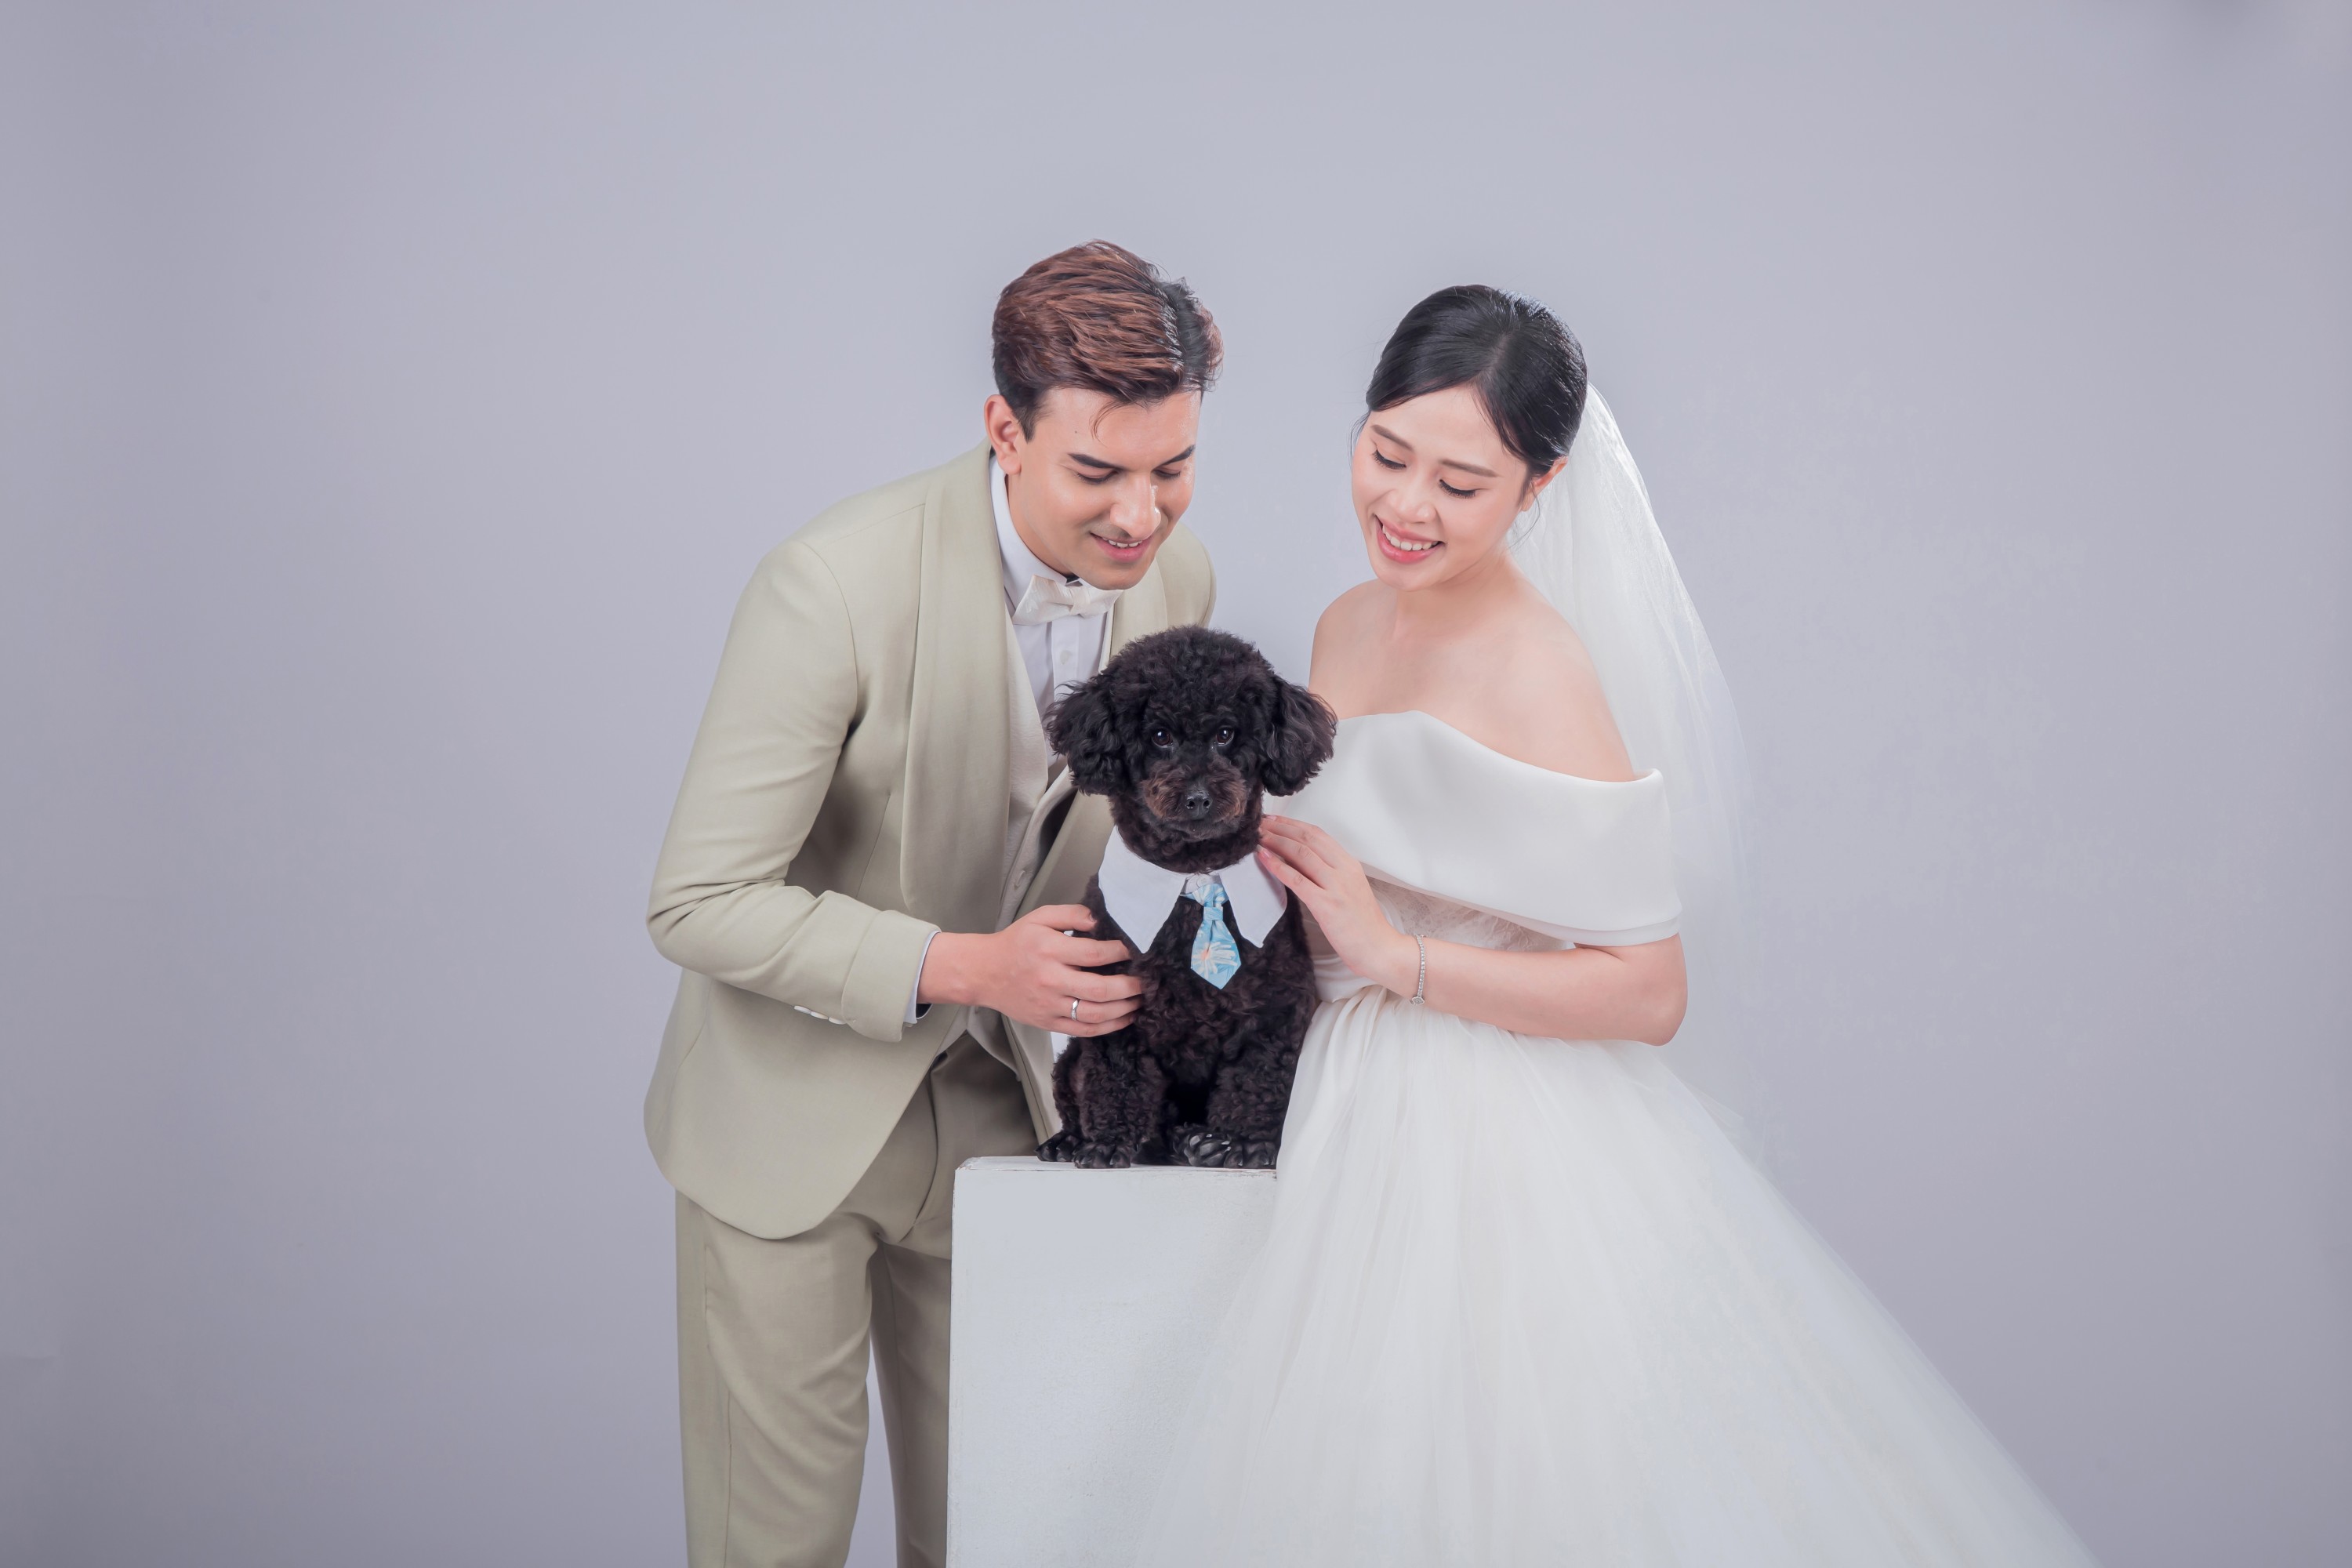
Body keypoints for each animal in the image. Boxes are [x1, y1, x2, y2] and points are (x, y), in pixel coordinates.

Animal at [1036, 626, 1337, 1169]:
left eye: (1226, 734)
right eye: (1160, 737)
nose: (1199, 797)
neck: (1195, 878)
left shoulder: (1278, 1006)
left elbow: (1258, 1077)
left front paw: (1246, 1142)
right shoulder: (1111, 1008)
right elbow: (1116, 1077)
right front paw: (1108, 1143)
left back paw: (1198, 1142)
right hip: (1071, 1055)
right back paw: (1075, 1141)